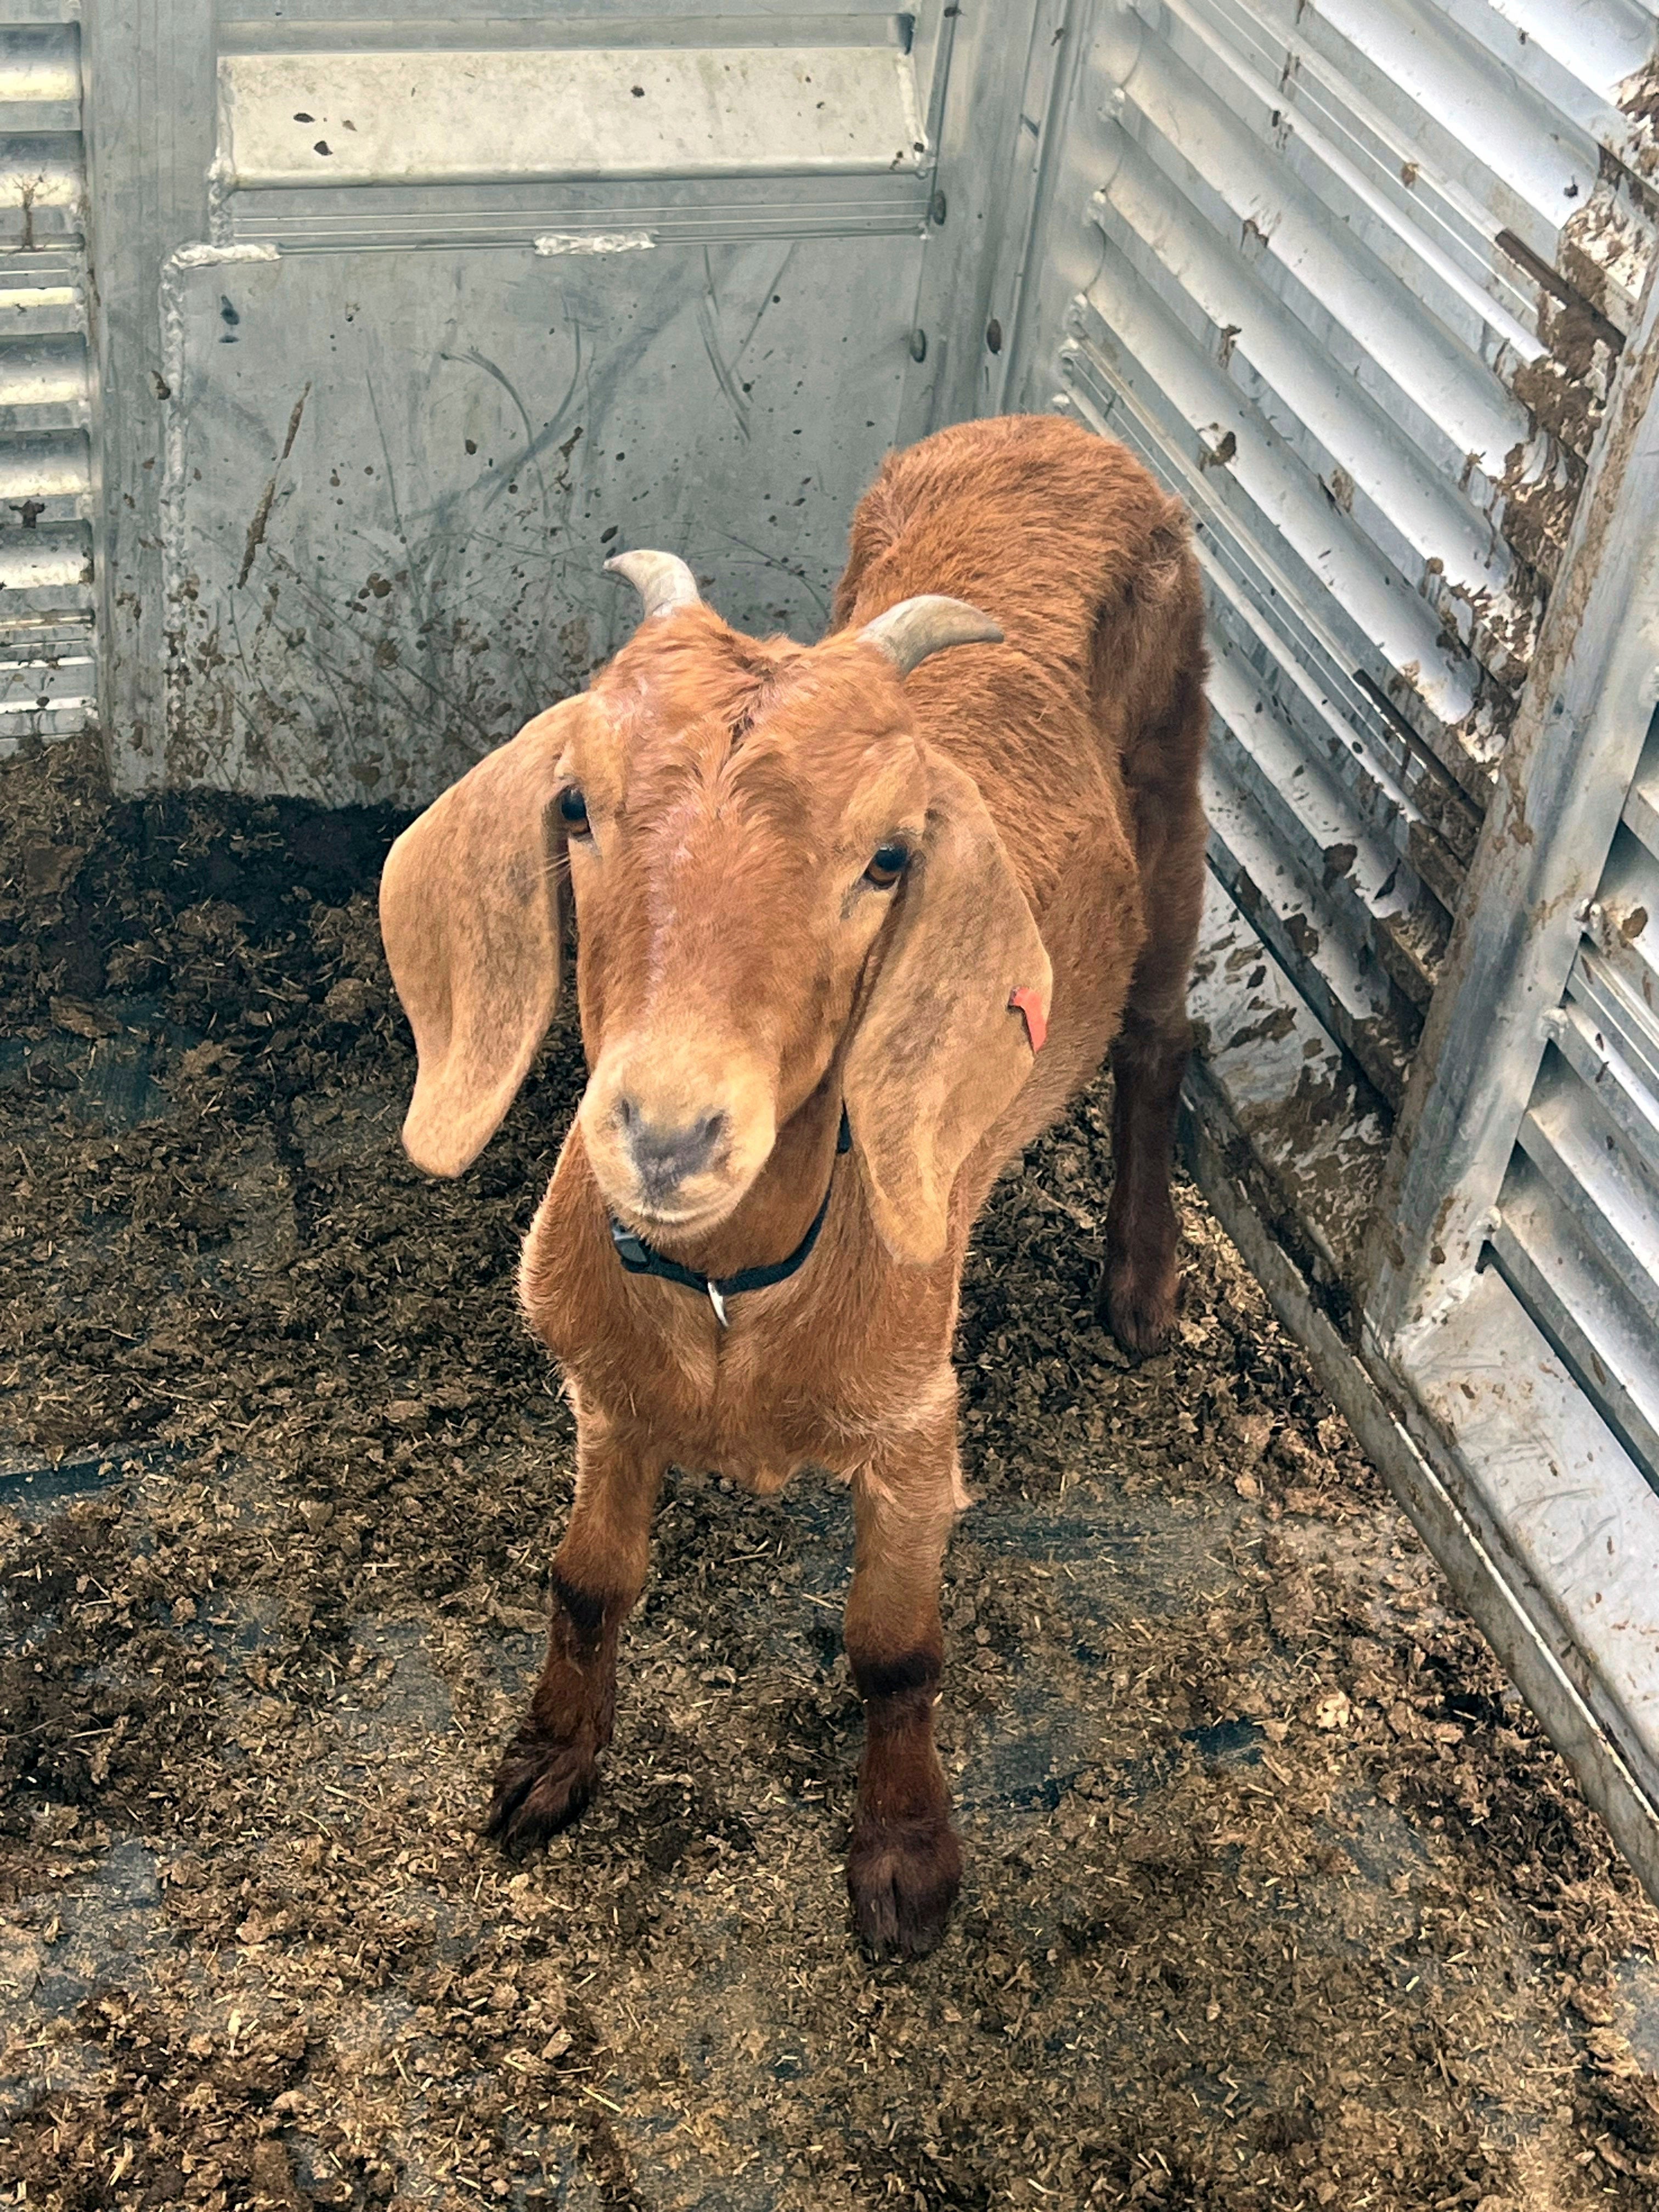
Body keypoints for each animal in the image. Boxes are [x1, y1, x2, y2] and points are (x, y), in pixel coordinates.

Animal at [378, 414, 1208, 1955]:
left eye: (887, 858)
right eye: (576, 806)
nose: (668, 1129)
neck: (730, 1302)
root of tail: (1052, 426)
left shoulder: (915, 1429)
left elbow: (895, 1650)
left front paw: (906, 1864)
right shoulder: (605, 1397)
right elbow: (586, 1580)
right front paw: (548, 1760)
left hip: (1178, 780)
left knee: (1157, 1034)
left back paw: (1141, 1287)